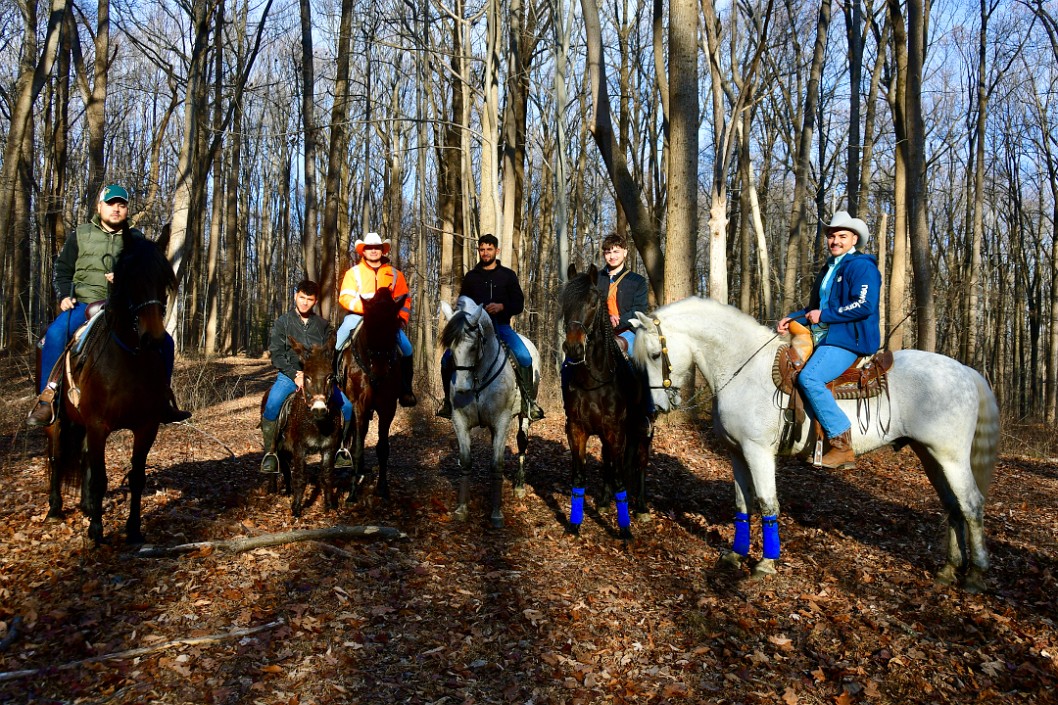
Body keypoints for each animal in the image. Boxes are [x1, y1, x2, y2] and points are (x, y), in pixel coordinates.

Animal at [44, 231, 177, 541]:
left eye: (164, 279)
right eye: (130, 278)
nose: (153, 338)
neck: (130, 359)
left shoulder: (146, 427)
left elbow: (136, 477)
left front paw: (134, 530)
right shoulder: (98, 425)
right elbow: (100, 478)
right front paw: (96, 531)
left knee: (82, 458)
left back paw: (86, 505)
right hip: (59, 421)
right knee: (57, 457)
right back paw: (55, 508)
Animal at [338, 285, 404, 499]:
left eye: (394, 328)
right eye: (369, 327)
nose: (379, 373)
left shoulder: (387, 406)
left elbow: (382, 448)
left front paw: (382, 487)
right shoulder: (358, 405)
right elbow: (358, 447)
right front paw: (353, 490)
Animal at [440, 294, 541, 525]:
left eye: (473, 347)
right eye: (450, 349)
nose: (462, 388)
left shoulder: (502, 421)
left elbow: (497, 464)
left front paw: (496, 512)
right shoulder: (459, 421)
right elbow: (466, 462)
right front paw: (462, 508)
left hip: (523, 417)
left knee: (522, 443)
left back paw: (519, 486)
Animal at [562, 263, 651, 537]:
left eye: (593, 302)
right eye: (564, 300)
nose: (574, 348)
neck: (593, 380)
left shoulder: (616, 430)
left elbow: (622, 477)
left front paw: (625, 531)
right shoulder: (577, 429)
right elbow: (579, 476)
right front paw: (574, 524)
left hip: (641, 430)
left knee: (640, 462)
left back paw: (641, 507)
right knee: (609, 462)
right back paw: (602, 500)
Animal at [634, 294, 998, 588]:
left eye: (654, 354)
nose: (658, 406)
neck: (743, 369)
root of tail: (966, 372)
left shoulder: (758, 452)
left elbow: (767, 503)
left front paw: (766, 563)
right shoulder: (737, 453)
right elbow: (742, 503)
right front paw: (736, 554)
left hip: (951, 457)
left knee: (971, 504)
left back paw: (976, 575)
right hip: (930, 455)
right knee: (953, 506)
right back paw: (949, 570)